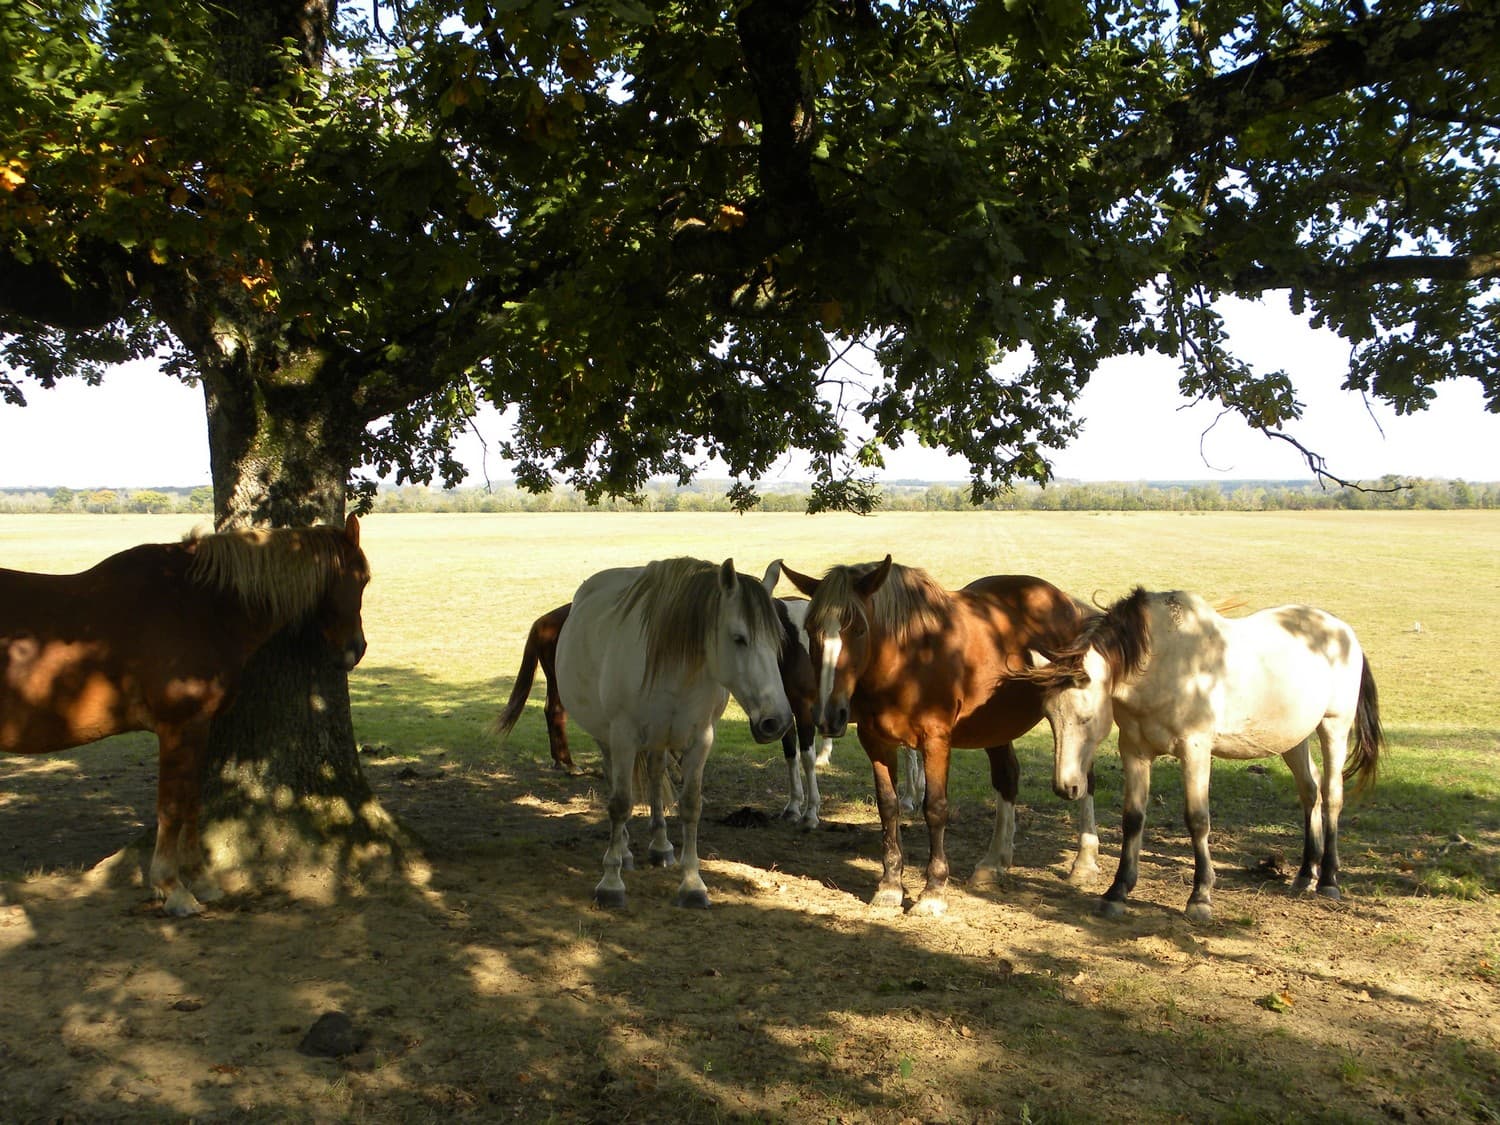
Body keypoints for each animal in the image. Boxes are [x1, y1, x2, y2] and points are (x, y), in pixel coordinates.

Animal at [1, 517, 370, 916]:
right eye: (363, 578)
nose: (356, 649)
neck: (199, 607)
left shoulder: (200, 727)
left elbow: (192, 802)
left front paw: (201, 880)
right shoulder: (179, 728)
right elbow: (171, 807)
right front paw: (171, 888)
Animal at [555, 557, 792, 909]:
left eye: (777, 641)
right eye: (739, 638)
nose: (776, 721)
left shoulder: (701, 739)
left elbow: (691, 805)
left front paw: (692, 884)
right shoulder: (623, 736)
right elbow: (620, 804)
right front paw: (611, 883)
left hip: (658, 739)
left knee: (655, 775)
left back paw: (661, 845)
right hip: (607, 737)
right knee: (614, 779)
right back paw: (623, 852)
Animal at [781, 556, 1098, 915]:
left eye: (859, 629)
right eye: (811, 631)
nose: (828, 715)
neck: (909, 660)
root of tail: (1066, 603)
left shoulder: (935, 741)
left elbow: (934, 808)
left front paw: (933, 891)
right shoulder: (876, 742)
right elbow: (888, 806)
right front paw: (890, 886)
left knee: (1085, 778)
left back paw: (1084, 862)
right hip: (996, 725)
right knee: (1007, 778)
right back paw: (994, 863)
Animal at [1023, 587, 1383, 922]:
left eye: (1085, 717)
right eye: (1050, 716)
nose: (1066, 786)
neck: (1165, 664)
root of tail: (1343, 631)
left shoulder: (1194, 750)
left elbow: (1197, 820)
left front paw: (1200, 897)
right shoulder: (1134, 750)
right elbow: (1133, 819)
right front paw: (1117, 891)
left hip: (1334, 727)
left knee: (1332, 795)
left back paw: (1329, 880)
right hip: (1293, 739)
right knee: (1310, 791)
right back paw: (1306, 874)